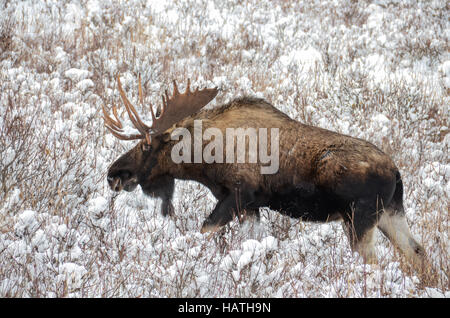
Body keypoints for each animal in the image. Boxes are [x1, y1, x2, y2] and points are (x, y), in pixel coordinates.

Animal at [102, 76, 426, 268]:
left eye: (147, 145)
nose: (114, 173)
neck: (204, 160)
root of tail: (397, 173)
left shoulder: (238, 195)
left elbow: (205, 230)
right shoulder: (251, 207)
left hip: (359, 219)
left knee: (375, 262)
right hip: (390, 213)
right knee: (418, 252)